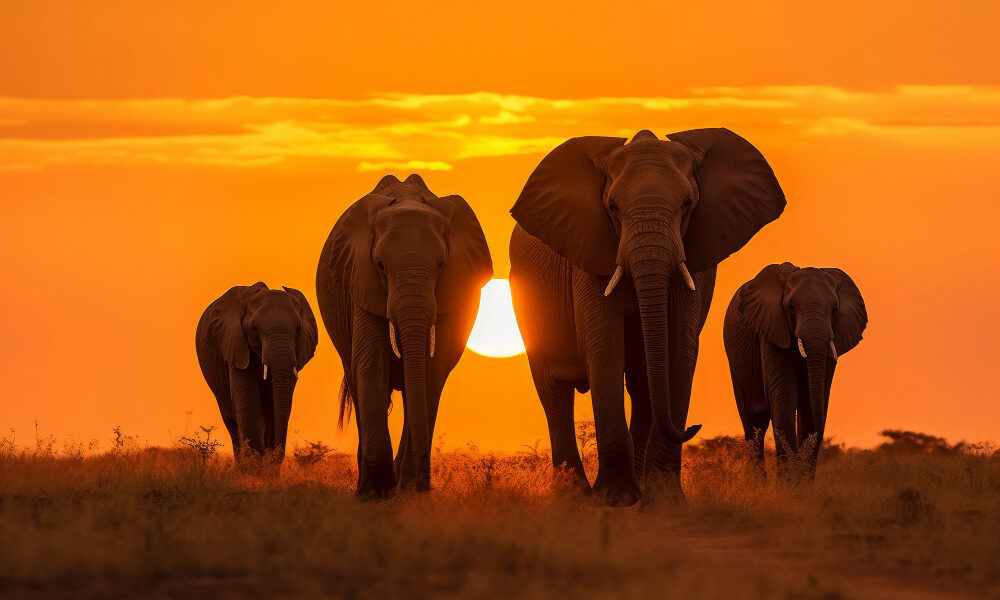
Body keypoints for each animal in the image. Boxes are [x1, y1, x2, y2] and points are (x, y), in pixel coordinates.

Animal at [195, 282, 319, 460]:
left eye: (298, 329)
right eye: (254, 328)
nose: (275, 452)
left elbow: (276, 404)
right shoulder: (237, 347)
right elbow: (248, 403)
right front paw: (256, 463)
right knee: (231, 421)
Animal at [316, 174, 492, 496]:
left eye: (440, 264)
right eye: (381, 265)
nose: (426, 485)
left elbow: (429, 372)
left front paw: (406, 489)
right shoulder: (362, 282)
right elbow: (371, 364)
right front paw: (378, 493)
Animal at [509, 129, 785, 506]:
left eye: (687, 204)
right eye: (613, 207)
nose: (694, 428)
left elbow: (680, 350)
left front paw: (664, 500)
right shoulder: (591, 251)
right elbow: (604, 348)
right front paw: (616, 499)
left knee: (641, 390)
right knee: (555, 391)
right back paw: (575, 497)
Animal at [723, 263, 867, 480]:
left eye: (835, 309)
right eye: (791, 307)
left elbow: (812, 401)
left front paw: (802, 485)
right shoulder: (770, 329)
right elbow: (784, 396)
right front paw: (787, 485)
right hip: (736, 361)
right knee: (754, 423)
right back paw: (757, 484)